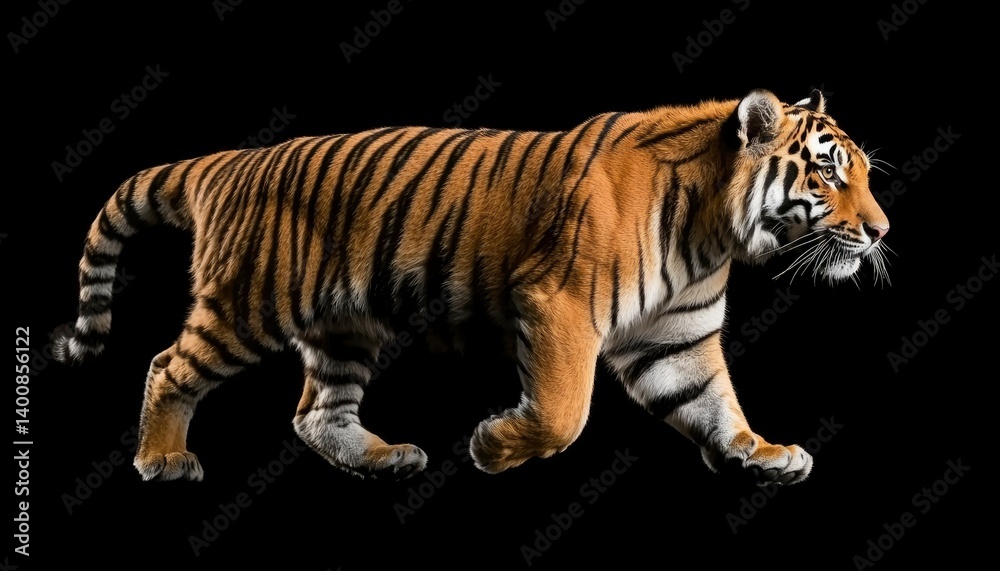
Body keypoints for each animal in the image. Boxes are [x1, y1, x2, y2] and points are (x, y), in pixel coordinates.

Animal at [52, 88, 889, 485]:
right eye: (827, 173)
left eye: (864, 172)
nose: (882, 230)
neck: (711, 231)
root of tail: (232, 160)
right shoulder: (560, 306)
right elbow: (564, 410)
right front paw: (496, 445)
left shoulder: (675, 337)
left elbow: (714, 403)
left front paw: (763, 451)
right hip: (247, 303)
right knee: (168, 366)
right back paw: (163, 459)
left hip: (343, 325)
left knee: (316, 410)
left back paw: (382, 457)